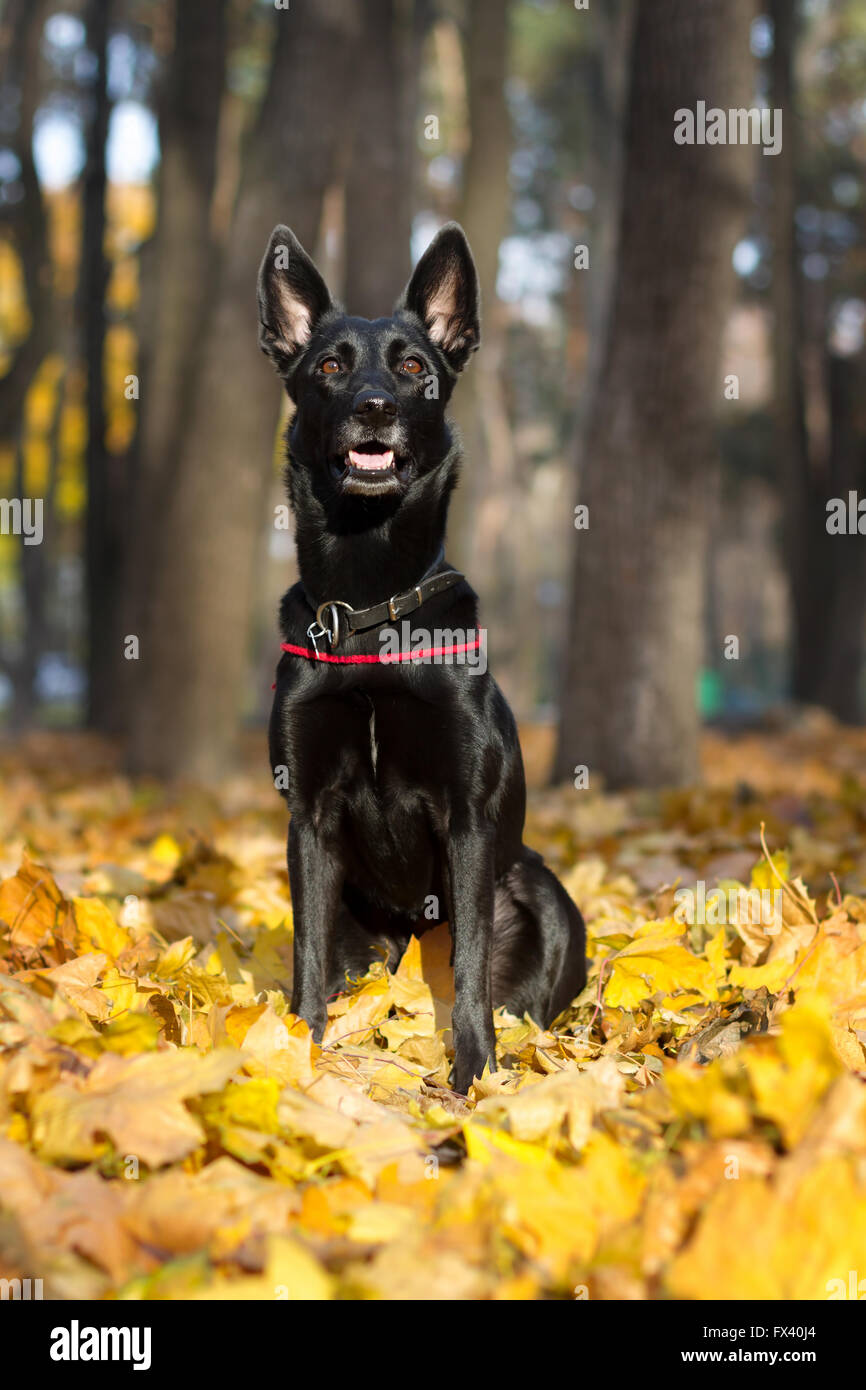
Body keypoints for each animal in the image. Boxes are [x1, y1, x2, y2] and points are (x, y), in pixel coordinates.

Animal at [258, 222, 589, 1089]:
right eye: (330, 366)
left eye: (413, 368)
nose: (374, 407)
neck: (372, 614)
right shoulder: (307, 818)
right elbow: (307, 951)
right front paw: (299, 1045)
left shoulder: (468, 819)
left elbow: (469, 957)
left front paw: (475, 1073)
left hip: (540, 887)